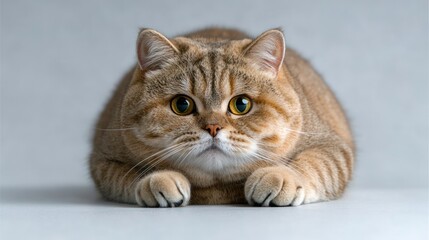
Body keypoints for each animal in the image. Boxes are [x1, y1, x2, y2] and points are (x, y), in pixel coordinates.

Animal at [88, 25, 352, 206]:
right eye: (182, 105)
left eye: (241, 104)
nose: (213, 127)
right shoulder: (104, 159)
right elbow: (130, 175)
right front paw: (157, 179)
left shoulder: (332, 146)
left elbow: (313, 164)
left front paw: (280, 176)